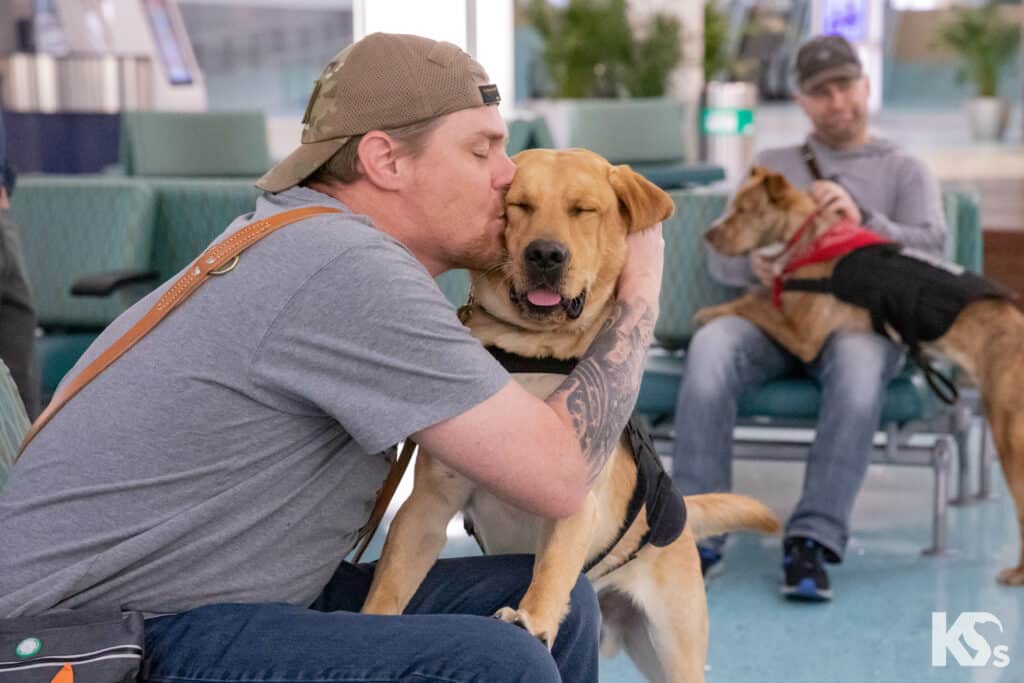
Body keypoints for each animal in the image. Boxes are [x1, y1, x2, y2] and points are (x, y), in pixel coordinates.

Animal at [364, 150, 778, 683]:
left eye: (584, 210)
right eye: (519, 205)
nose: (545, 255)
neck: (533, 353)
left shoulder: (574, 502)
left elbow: (551, 569)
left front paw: (532, 619)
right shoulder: (429, 505)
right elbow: (390, 582)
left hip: (675, 654)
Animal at [696, 166, 1024, 589]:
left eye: (744, 209)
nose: (708, 235)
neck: (809, 236)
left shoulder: (802, 333)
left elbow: (754, 302)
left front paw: (709, 311)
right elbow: (758, 298)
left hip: (1009, 435)